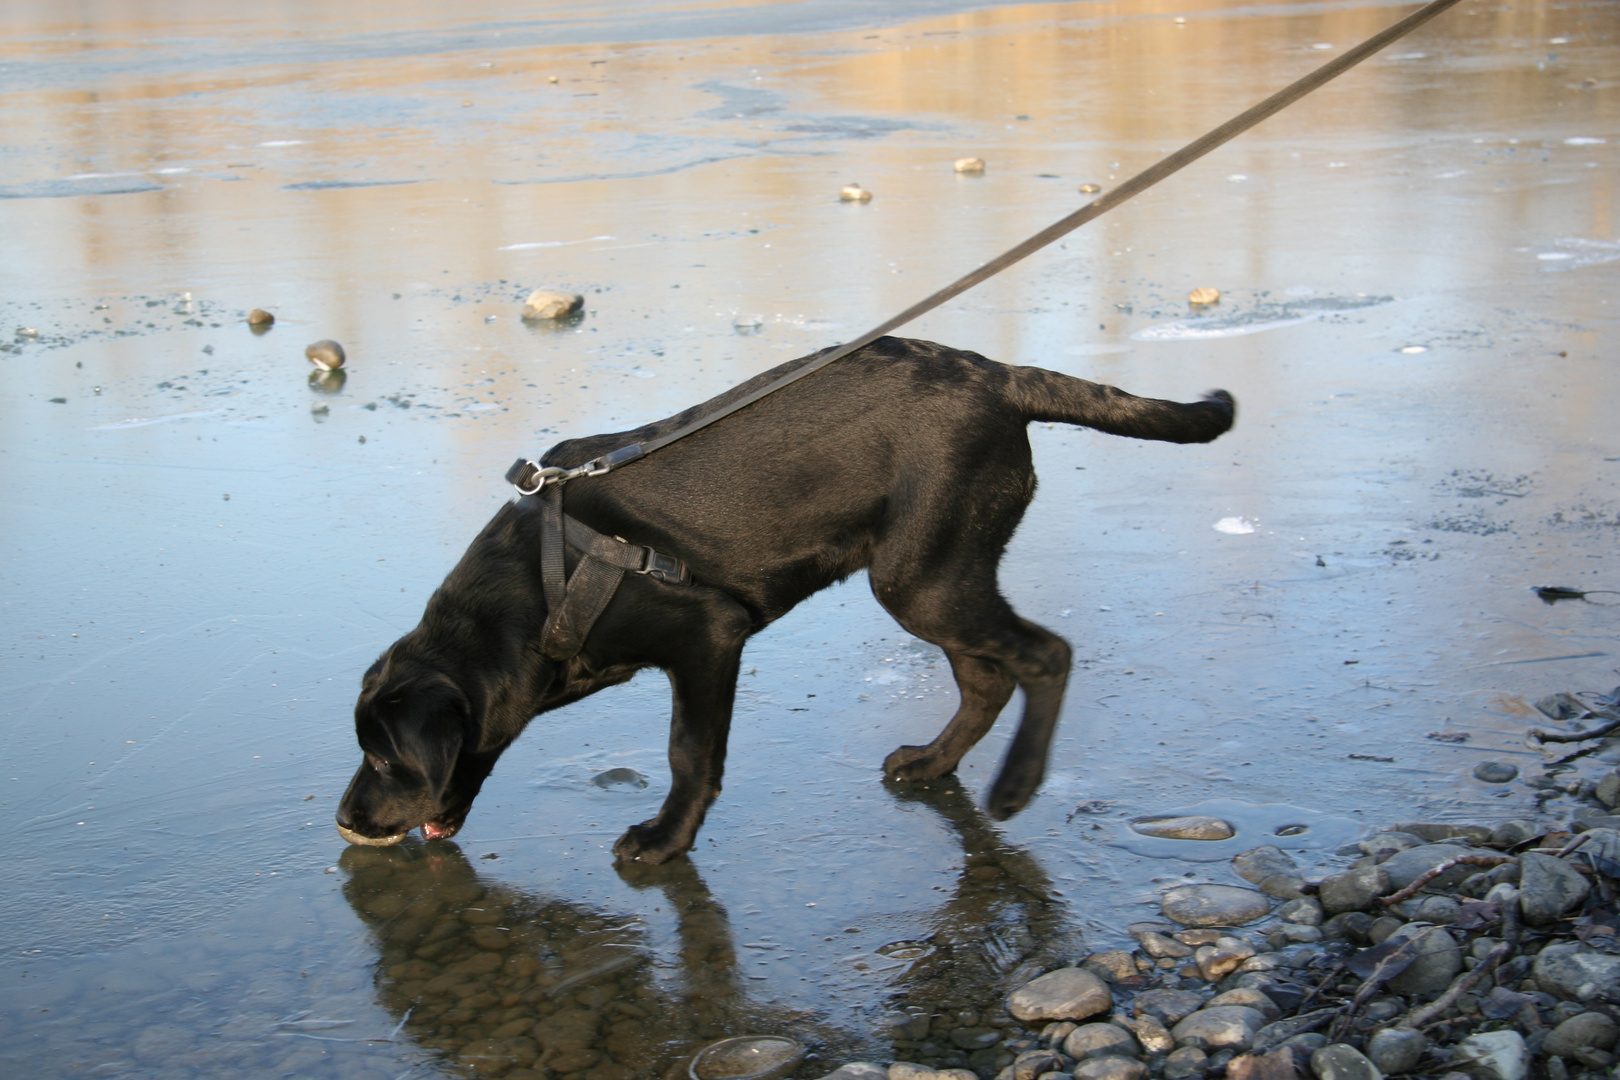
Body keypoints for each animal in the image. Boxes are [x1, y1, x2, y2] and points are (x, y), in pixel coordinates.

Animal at [335, 333, 1231, 867]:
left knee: (1045, 656)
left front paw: (666, 839)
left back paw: (1014, 786)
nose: (345, 820)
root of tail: (1003, 379)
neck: (533, 590)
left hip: (924, 576)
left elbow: (689, 752)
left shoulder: (707, 636)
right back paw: (932, 764)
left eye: (383, 759)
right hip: (933, 571)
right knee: (988, 677)